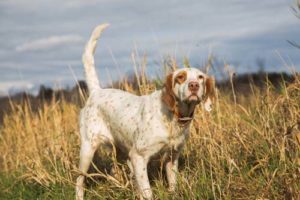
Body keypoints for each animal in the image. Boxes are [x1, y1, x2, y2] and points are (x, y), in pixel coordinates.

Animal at [76, 23, 214, 200]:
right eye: (180, 77)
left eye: (200, 77)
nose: (194, 85)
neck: (172, 116)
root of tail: (96, 91)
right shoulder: (139, 156)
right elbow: (147, 191)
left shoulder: (172, 157)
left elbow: (172, 183)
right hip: (88, 150)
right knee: (79, 180)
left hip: (121, 151)